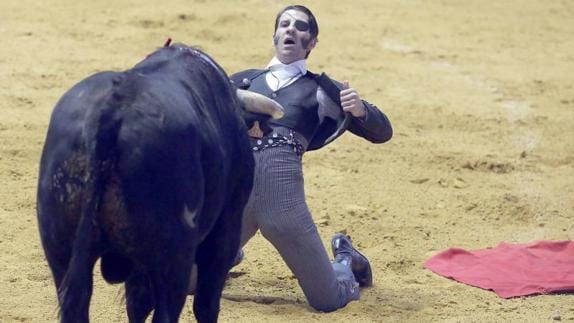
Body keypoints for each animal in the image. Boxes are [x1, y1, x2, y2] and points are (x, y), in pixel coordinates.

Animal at [37, 43, 266, 323]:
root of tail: (114, 108)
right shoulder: (226, 228)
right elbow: (206, 303)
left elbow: (136, 303)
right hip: (175, 256)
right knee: (168, 310)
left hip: (59, 246)